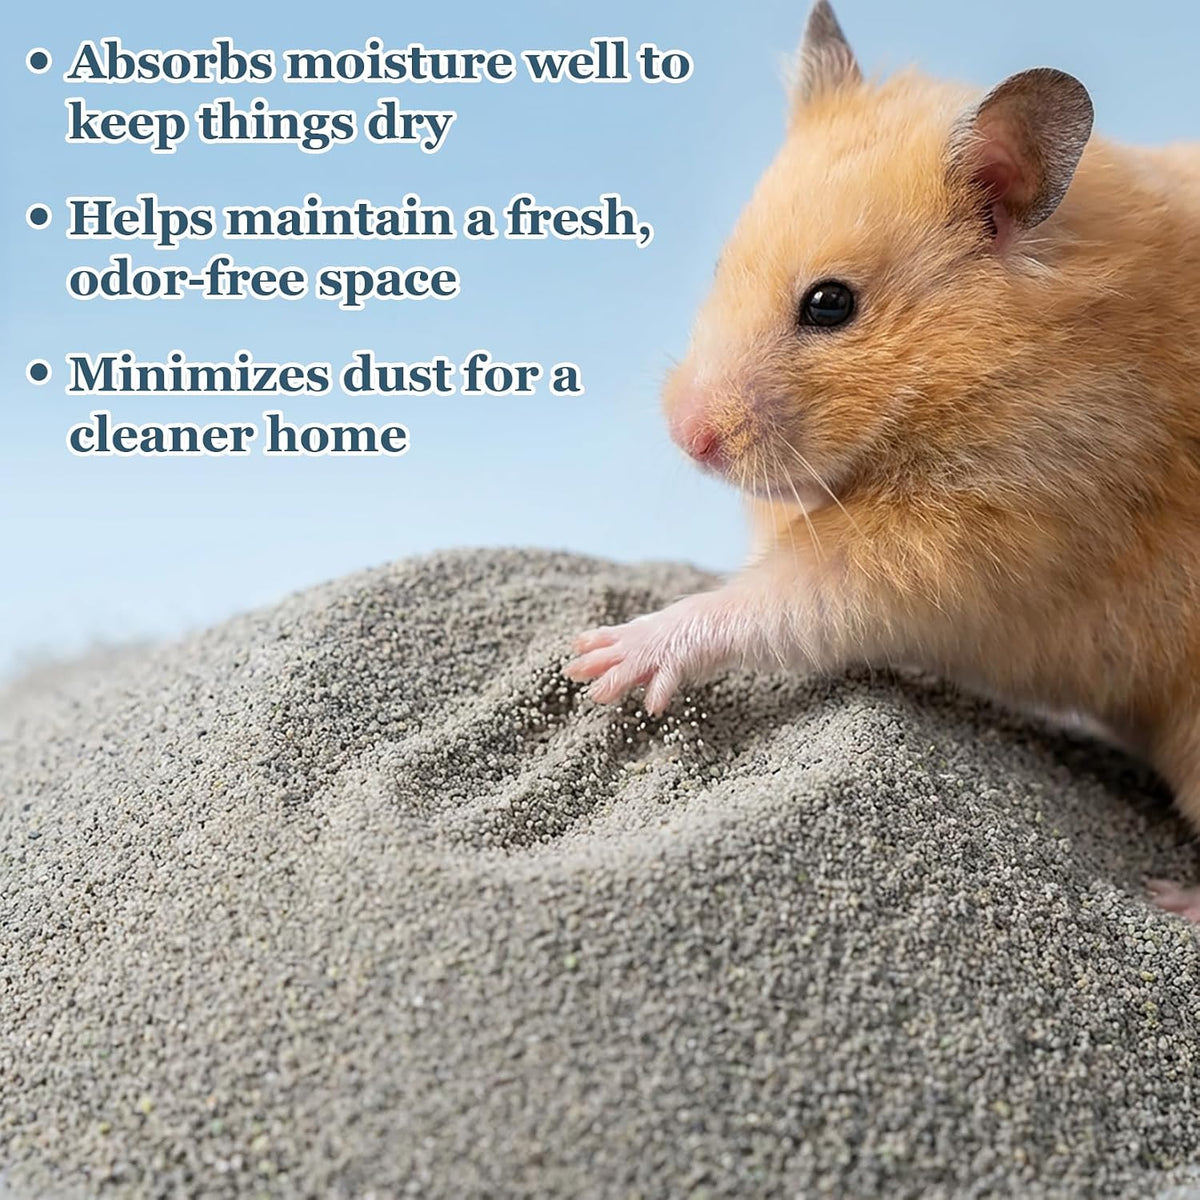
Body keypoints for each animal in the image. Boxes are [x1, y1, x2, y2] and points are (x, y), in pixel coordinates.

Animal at [565, 2, 1200, 920]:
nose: (687, 437)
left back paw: (1165, 898)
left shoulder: (968, 548)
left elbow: (782, 599)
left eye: (831, 304)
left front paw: (601, 662)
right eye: (723, 265)